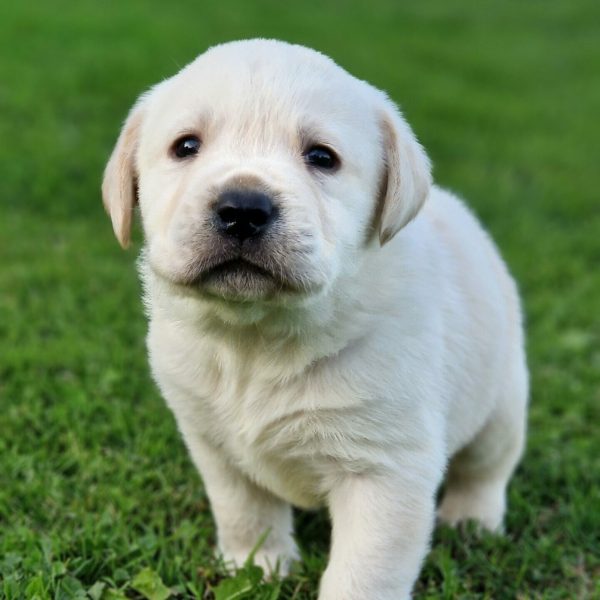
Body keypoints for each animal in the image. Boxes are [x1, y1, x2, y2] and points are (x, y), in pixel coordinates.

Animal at [102, 38, 524, 600]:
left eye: (322, 157)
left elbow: (364, 574)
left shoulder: (385, 470)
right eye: (185, 146)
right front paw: (257, 566)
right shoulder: (211, 440)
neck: (256, 339)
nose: (243, 208)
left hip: (502, 404)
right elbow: (244, 510)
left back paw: (472, 519)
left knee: (486, 468)